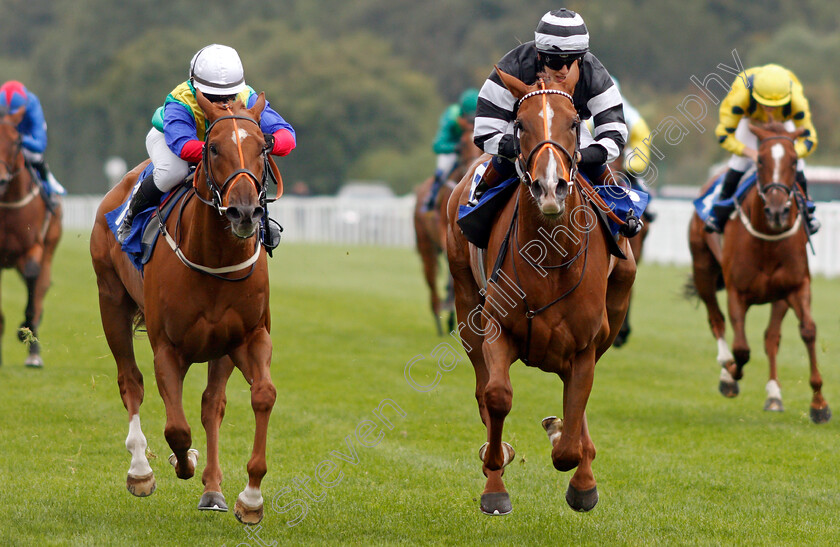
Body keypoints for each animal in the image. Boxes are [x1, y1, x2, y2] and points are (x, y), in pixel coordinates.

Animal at [90, 92, 278, 524]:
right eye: (213, 148)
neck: (214, 257)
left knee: (212, 405)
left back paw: (212, 489)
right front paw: (180, 461)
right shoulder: (168, 348)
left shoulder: (249, 337)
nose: (245, 212)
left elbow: (261, 395)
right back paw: (140, 470)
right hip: (111, 301)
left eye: (263, 148)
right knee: (130, 381)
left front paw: (250, 498)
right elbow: (176, 428)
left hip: (220, 348)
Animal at [412, 116, 480, 334]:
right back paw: (438, 316)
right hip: (426, 246)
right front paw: (449, 303)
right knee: (431, 277)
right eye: (462, 145)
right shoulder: (445, 232)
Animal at [446, 66, 636, 516]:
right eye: (520, 124)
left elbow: (571, 432)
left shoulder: (585, 344)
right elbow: (497, 397)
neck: (549, 258)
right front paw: (495, 482)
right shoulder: (497, 328)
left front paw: (581, 479)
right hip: (465, 305)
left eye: (574, 123)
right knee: (483, 388)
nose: (550, 188)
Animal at [684, 122, 832, 426]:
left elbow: (807, 331)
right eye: (761, 161)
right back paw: (726, 369)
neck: (768, 240)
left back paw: (774, 395)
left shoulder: (796, 287)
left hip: (778, 297)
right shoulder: (736, 292)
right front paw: (731, 373)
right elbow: (741, 349)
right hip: (703, 270)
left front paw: (819, 404)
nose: (777, 211)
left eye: (794, 161)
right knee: (716, 320)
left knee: (771, 338)